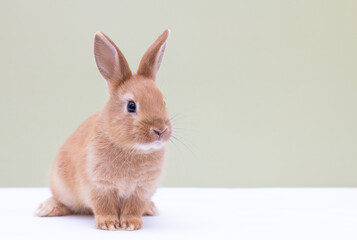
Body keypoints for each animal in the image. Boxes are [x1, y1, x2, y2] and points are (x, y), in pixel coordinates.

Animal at [35, 30, 172, 231]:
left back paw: (150, 208)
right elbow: (103, 205)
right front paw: (109, 224)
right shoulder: (100, 186)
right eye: (131, 106)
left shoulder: (141, 190)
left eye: (163, 101)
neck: (132, 149)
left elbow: (134, 206)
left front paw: (131, 224)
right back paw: (47, 209)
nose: (160, 130)